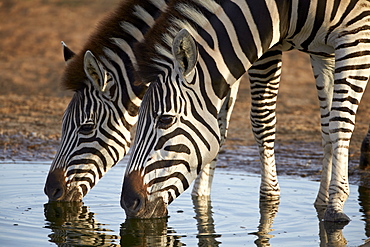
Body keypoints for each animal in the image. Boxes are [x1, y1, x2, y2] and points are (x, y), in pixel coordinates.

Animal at [120, 0, 370, 223]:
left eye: (166, 119)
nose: (128, 203)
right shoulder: (315, 49)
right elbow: (321, 123)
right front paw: (321, 201)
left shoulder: (355, 37)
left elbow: (339, 122)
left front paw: (335, 205)